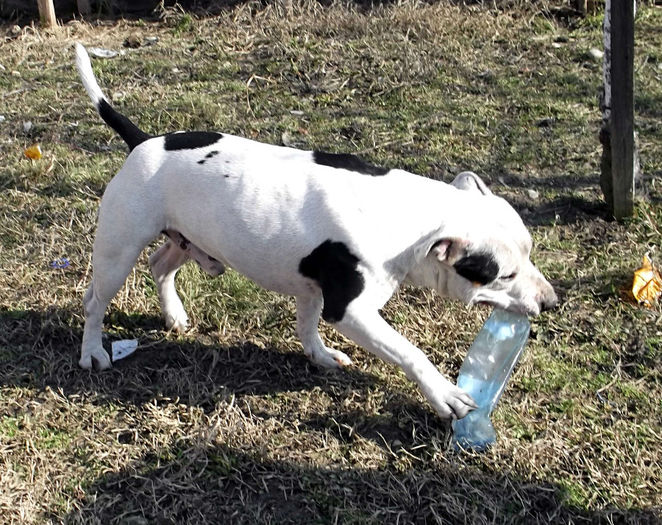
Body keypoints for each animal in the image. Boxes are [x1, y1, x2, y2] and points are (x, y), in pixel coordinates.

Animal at [75, 46, 556, 422]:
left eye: (530, 253)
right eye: (502, 275)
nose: (552, 302)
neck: (408, 215)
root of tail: (144, 141)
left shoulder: (311, 287)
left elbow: (307, 326)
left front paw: (320, 356)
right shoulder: (351, 311)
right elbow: (409, 351)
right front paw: (444, 394)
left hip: (186, 239)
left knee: (160, 265)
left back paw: (173, 314)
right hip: (117, 254)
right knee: (95, 301)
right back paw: (93, 351)